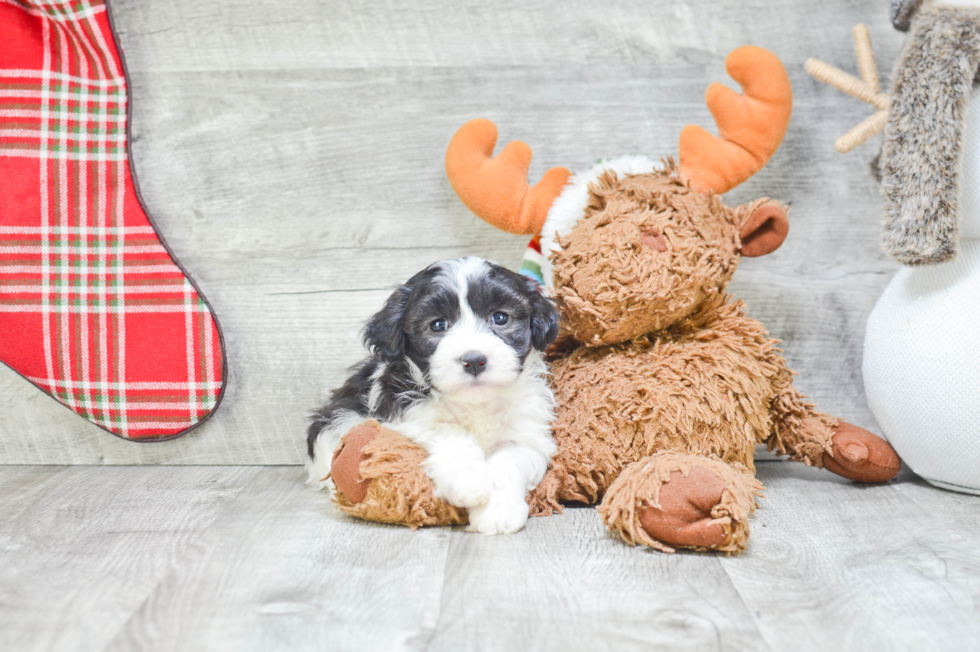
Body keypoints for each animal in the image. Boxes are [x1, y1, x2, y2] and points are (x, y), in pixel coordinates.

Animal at [310, 258, 564, 536]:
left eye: (500, 317)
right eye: (438, 324)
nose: (474, 360)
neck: (475, 402)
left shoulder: (528, 434)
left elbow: (509, 459)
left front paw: (497, 513)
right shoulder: (399, 414)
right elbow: (449, 429)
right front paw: (469, 481)